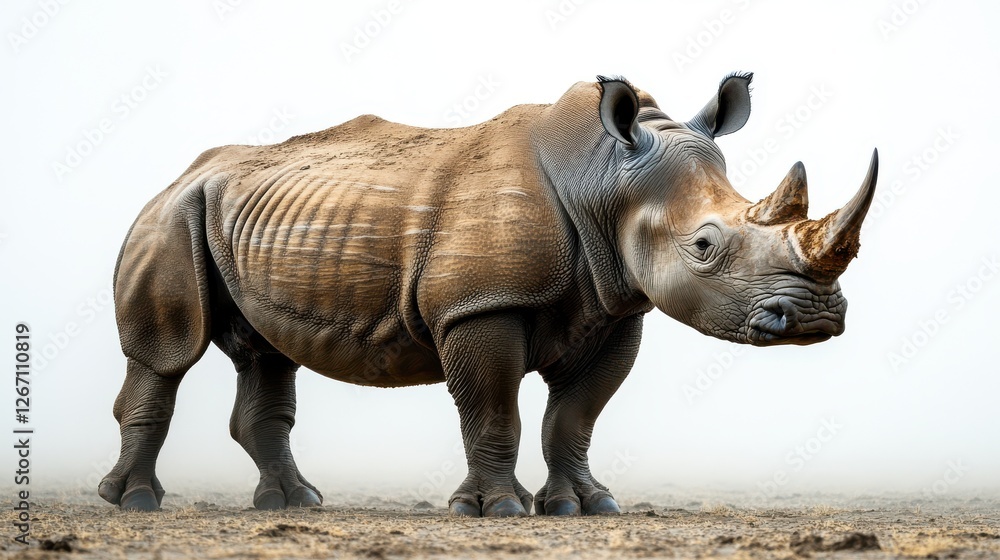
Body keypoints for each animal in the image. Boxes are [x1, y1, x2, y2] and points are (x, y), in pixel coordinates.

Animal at [101, 72, 878, 517]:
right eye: (705, 247)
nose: (814, 318)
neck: (608, 181)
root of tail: (180, 174)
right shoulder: (479, 306)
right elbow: (494, 410)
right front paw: (495, 510)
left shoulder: (615, 307)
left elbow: (574, 417)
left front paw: (586, 507)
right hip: (170, 216)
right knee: (168, 354)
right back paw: (136, 503)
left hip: (241, 216)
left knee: (266, 353)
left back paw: (294, 505)